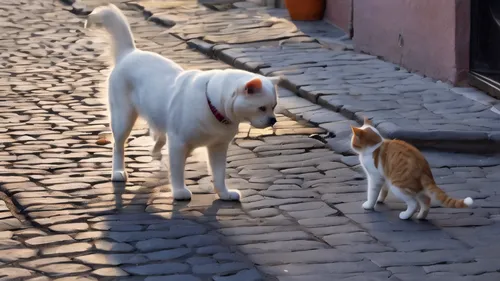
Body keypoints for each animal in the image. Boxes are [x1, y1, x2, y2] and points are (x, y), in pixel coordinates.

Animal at [87, 4, 280, 201]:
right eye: (261, 108)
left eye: (274, 107)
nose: (273, 120)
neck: (213, 106)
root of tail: (130, 53)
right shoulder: (179, 143)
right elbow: (178, 171)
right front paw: (179, 191)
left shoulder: (218, 147)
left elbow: (219, 174)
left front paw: (224, 193)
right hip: (123, 119)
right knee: (118, 145)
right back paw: (118, 172)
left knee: (158, 136)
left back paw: (156, 152)